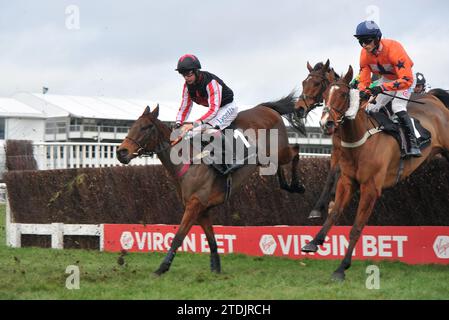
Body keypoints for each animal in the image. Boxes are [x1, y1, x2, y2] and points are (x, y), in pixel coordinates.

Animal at [116, 95, 304, 276]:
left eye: (146, 127)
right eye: (132, 126)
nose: (121, 152)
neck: (188, 162)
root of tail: (266, 108)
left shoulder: (194, 205)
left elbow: (178, 237)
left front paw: (161, 268)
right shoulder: (202, 210)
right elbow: (211, 240)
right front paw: (216, 269)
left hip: (280, 150)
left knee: (296, 150)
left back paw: (296, 185)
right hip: (269, 156)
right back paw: (287, 185)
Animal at [300, 66, 448, 282]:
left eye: (343, 94)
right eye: (325, 93)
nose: (326, 123)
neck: (359, 136)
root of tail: (435, 99)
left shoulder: (370, 188)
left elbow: (356, 227)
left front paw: (341, 268)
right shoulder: (347, 179)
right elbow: (334, 211)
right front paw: (314, 240)